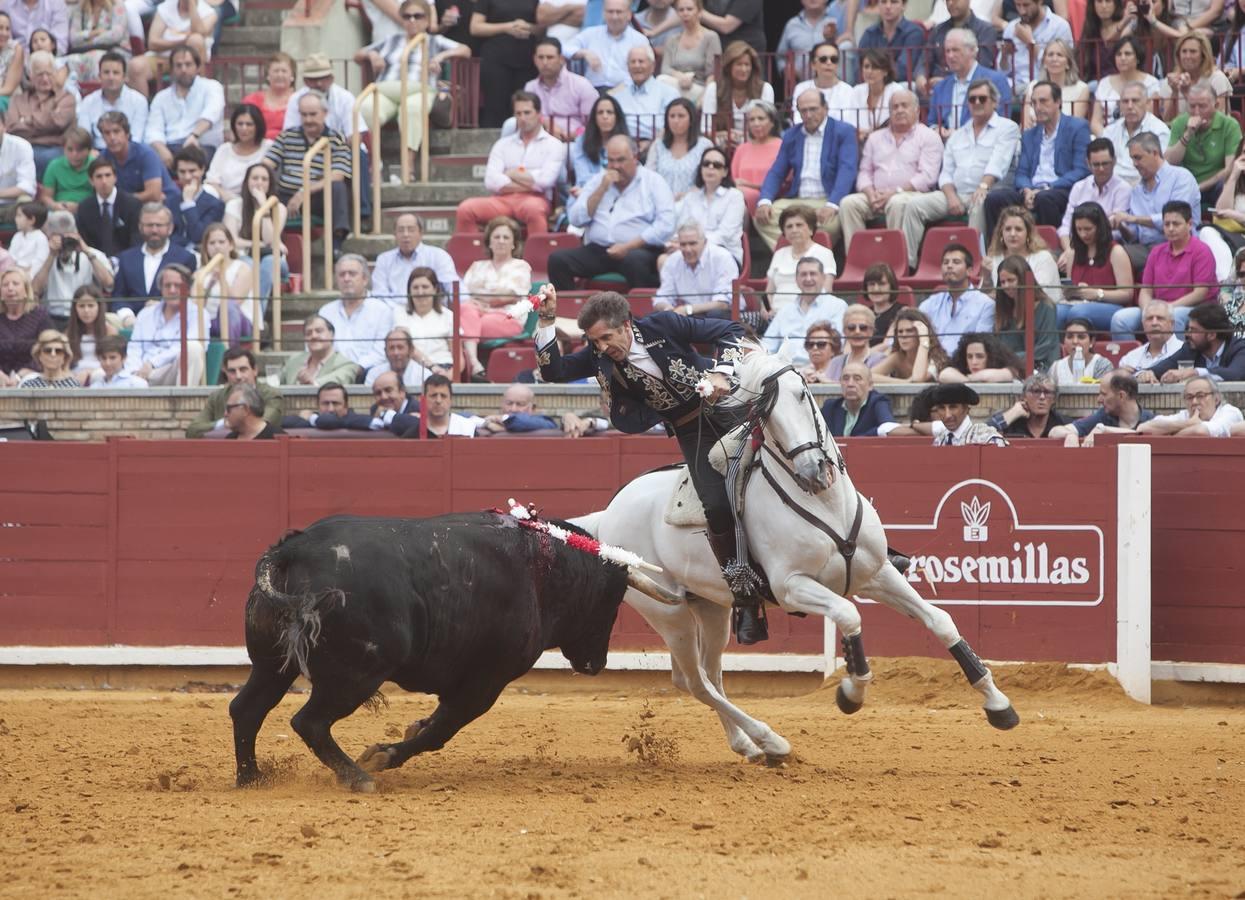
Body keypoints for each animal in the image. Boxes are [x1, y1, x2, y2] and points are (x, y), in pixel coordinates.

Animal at [229, 512, 632, 796]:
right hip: (356, 675)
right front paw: (381, 756)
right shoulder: (487, 680)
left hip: (271, 665)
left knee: (247, 708)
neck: (542, 569)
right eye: (611, 601)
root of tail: (291, 550)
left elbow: (435, 723)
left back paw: (252, 778)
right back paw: (358, 778)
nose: (597, 663)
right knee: (309, 722)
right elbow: (442, 729)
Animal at [572, 348, 1020, 761]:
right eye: (766, 415)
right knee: (696, 681)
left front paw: (999, 705)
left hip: (710, 607)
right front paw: (851, 692)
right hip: (668, 611)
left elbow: (941, 620)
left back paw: (749, 745)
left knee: (709, 675)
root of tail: (608, 512)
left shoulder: (877, 574)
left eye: (803, 395)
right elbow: (849, 615)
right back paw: (772, 741)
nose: (813, 471)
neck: (825, 504)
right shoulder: (792, 588)